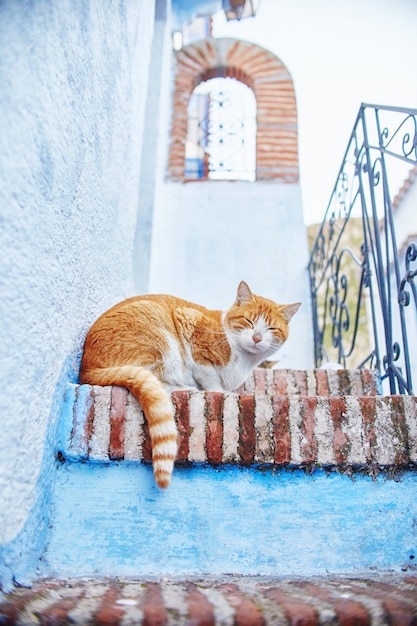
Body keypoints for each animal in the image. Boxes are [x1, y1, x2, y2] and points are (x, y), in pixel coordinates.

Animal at [79, 282, 300, 488]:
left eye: (271, 328)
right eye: (248, 321)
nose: (256, 338)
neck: (243, 357)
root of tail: (86, 368)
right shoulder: (191, 328)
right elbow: (209, 377)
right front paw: (217, 390)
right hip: (158, 340)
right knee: (153, 380)